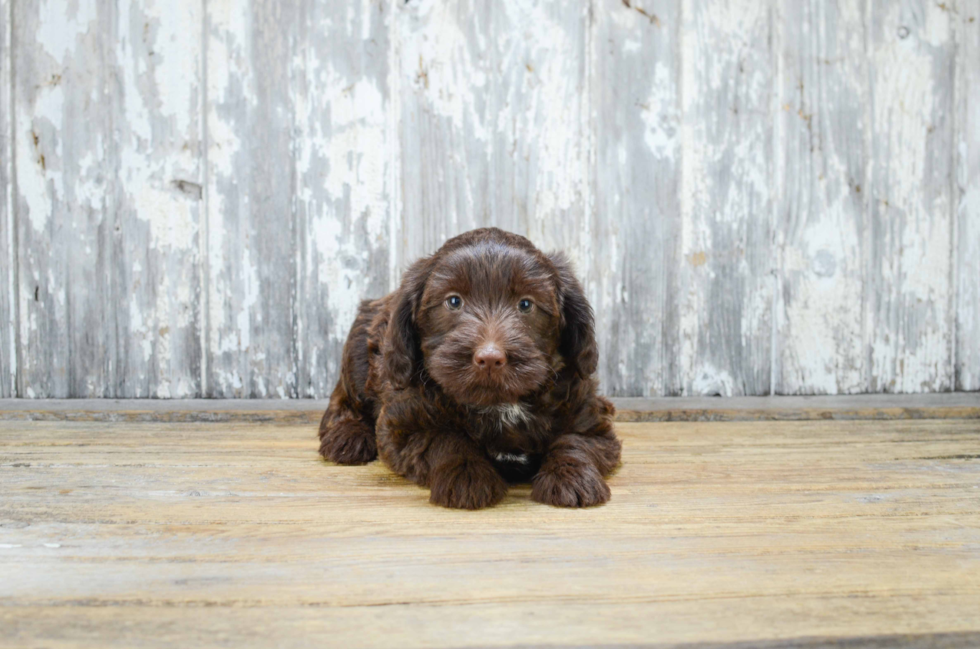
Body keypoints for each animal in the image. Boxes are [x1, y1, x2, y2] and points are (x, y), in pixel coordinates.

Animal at [320, 227, 620, 506]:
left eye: (526, 304)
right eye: (454, 301)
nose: (490, 358)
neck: (499, 404)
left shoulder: (589, 418)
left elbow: (574, 440)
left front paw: (573, 478)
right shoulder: (402, 425)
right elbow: (444, 439)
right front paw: (467, 476)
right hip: (358, 351)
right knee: (344, 400)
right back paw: (347, 437)